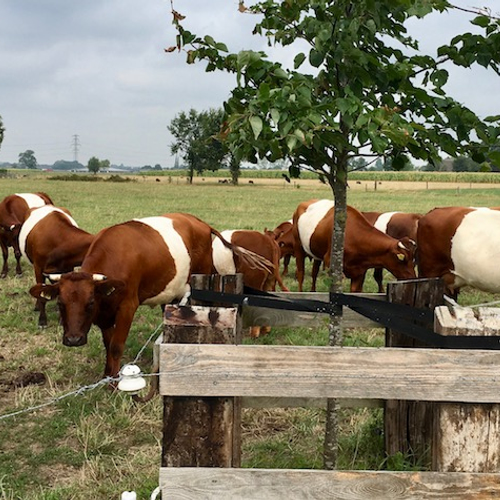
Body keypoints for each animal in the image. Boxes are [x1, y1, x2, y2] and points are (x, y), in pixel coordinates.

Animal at [29, 213, 272, 376]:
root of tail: (200, 223)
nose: (73, 340)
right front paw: (107, 375)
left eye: (89, 303)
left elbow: (116, 346)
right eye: (60, 303)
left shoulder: (127, 306)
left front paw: (113, 385)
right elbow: (108, 344)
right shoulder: (106, 312)